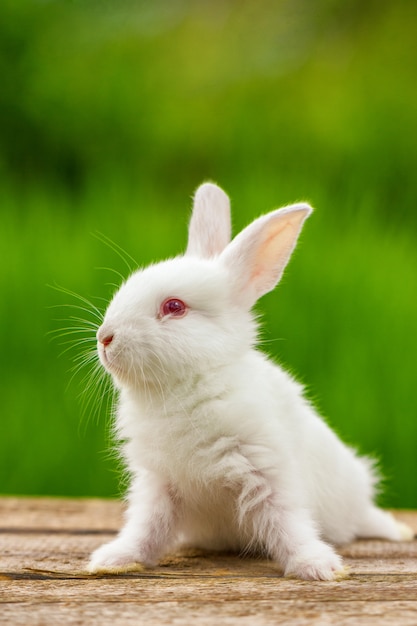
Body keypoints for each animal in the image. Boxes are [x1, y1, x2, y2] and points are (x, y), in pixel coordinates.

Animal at [88, 183, 412, 576]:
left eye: (174, 307)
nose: (105, 338)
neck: (185, 388)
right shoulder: (158, 484)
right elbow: (147, 527)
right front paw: (113, 559)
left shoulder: (266, 469)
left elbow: (287, 521)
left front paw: (317, 566)